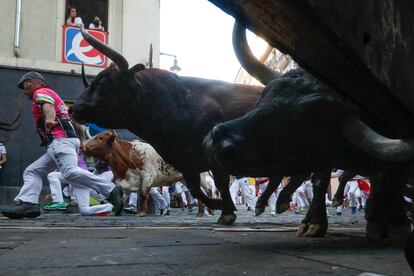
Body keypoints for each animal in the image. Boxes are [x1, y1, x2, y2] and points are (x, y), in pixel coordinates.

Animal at [69, 24, 260, 225]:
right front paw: (219, 205)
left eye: (103, 82)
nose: (73, 109)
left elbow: (220, 183)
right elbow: (196, 190)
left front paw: (227, 213)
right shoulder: (186, 163)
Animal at [203, 23, 414, 239]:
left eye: (310, 118)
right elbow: (320, 181)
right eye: (267, 94)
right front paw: (313, 222)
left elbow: (392, 179)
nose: (218, 140)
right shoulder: (324, 155)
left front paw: (392, 222)